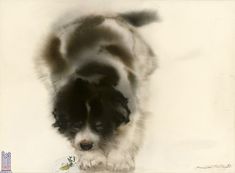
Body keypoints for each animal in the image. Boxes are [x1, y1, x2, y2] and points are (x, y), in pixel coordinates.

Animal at [35, 10, 158, 172]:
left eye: (99, 125)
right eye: (76, 124)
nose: (86, 145)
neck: (93, 78)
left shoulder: (131, 106)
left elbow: (126, 134)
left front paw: (118, 161)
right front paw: (91, 159)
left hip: (140, 53)